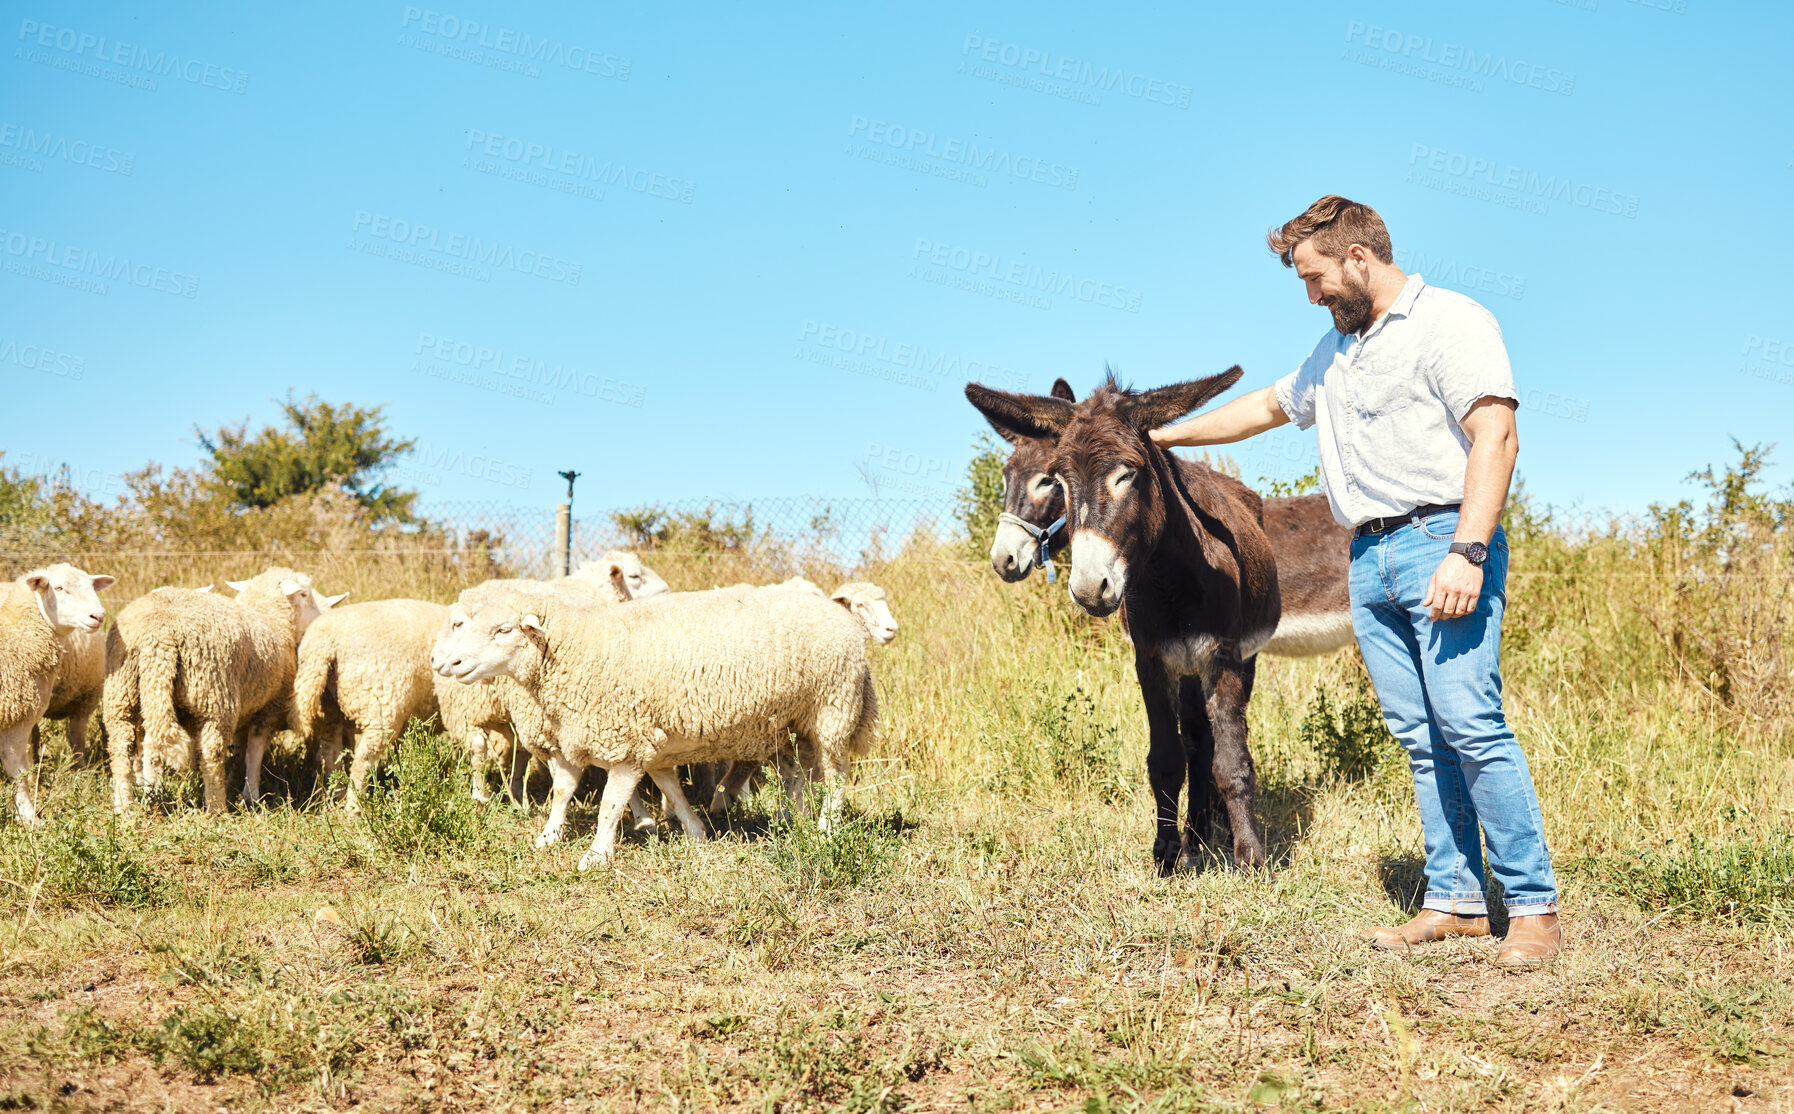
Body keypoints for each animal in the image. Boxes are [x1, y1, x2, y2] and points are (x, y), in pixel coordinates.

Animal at [0, 570, 113, 821]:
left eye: (92, 586)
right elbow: (19, 772)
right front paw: (30, 818)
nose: (98, 616)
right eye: (59, 588)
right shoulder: (15, 719)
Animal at [103, 570, 344, 810]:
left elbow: (232, 752)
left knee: (123, 748)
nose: (322, 617)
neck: (271, 618)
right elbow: (254, 752)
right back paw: (216, 806)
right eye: (305, 594)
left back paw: (129, 803)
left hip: (123, 695)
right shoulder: (268, 707)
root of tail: (159, 636)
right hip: (214, 698)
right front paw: (251, 794)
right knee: (211, 752)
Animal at [290, 599, 448, 807]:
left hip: (329, 708)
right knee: (362, 761)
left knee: (330, 755)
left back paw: (338, 797)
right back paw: (354, 807)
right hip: (381, 706)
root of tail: (324, 644)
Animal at [435, 581, 882, 868]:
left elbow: (610, 805)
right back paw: (797, 818)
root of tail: (843, 618)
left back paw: (825, 830)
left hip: (832, 709)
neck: (579, 646)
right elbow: (575, 791)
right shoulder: (598, 737)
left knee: (837, 777)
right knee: (800, 773)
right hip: (793, 722)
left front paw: (596, 856)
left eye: (503, 630)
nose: (448, 663)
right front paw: (549, 837)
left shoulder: (624, 741)